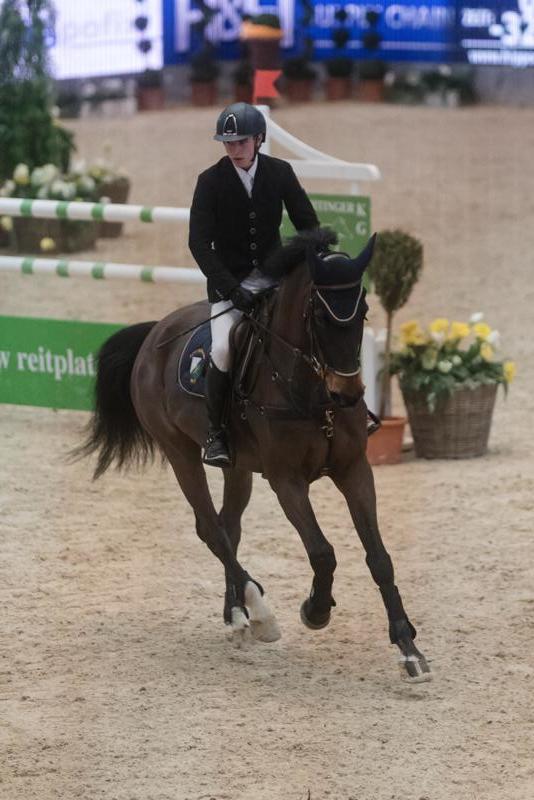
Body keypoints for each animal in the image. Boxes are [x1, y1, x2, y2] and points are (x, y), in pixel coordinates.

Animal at [78, 230, 432, 680]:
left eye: (364, 309)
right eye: (320, 317)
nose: (348, 394)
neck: (314, 395)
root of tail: (156, 332)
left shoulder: (354, 470)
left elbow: (380, 558)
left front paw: (408, 647)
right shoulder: (286, 481)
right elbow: (323, 553)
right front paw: (315, 610)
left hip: (239, 468)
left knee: (228, 526)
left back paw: (237, 614)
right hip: (180, 453)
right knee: (211, 529)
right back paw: (260, 613)